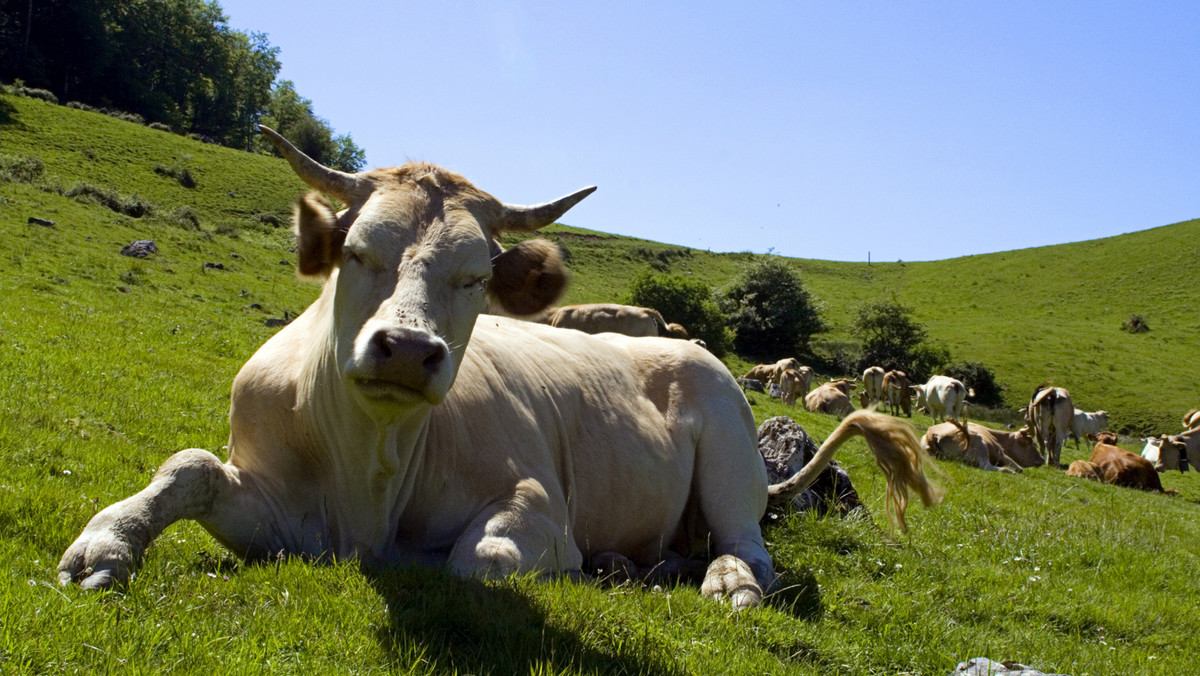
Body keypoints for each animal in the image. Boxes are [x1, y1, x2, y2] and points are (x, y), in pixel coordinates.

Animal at [56, 127, 940, 614]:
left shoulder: (537, 503)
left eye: (476, 275)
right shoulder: (278, 510)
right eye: (356, 250)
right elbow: (190, 468)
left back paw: (717, 579)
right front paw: (105, 545)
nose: (407, 349)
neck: (371, 467)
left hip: (728, 452)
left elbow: (475, 560)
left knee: (746, 544)